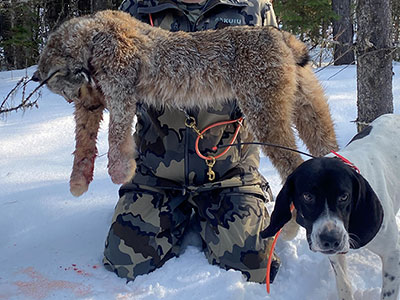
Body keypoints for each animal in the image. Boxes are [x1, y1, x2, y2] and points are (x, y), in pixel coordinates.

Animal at [32, 9, 338, 198]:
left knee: (292, 162)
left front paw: (120, 171)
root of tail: (278, 33)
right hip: (303, 97)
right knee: (324, 141)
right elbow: (83, 139)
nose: (79, 100)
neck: (90, 32)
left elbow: (116, 133)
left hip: (262, 107)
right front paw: (78, 181)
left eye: (66, 94)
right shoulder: (98, 95)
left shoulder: (120, 88)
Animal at [262, 113, 400, 298]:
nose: (330, 239)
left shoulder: (392, 253)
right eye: (307, 196)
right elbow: (343, 283)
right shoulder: (334, 253)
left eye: (344, 196)